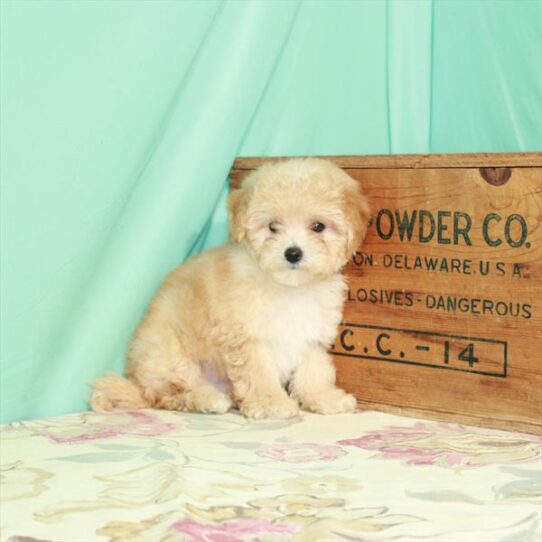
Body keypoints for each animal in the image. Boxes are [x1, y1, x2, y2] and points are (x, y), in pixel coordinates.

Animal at [91, 157, 374, 420]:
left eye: (318, 226)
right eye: (272, 227)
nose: (293, 253)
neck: (288, 287)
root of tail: (136, 382)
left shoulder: (311, 334)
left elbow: (315, 370)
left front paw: (323, 397)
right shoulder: (246, 337)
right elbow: (258, 374)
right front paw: (271, 403)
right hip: (167, 354)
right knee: (168, 395)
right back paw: (208, 398)